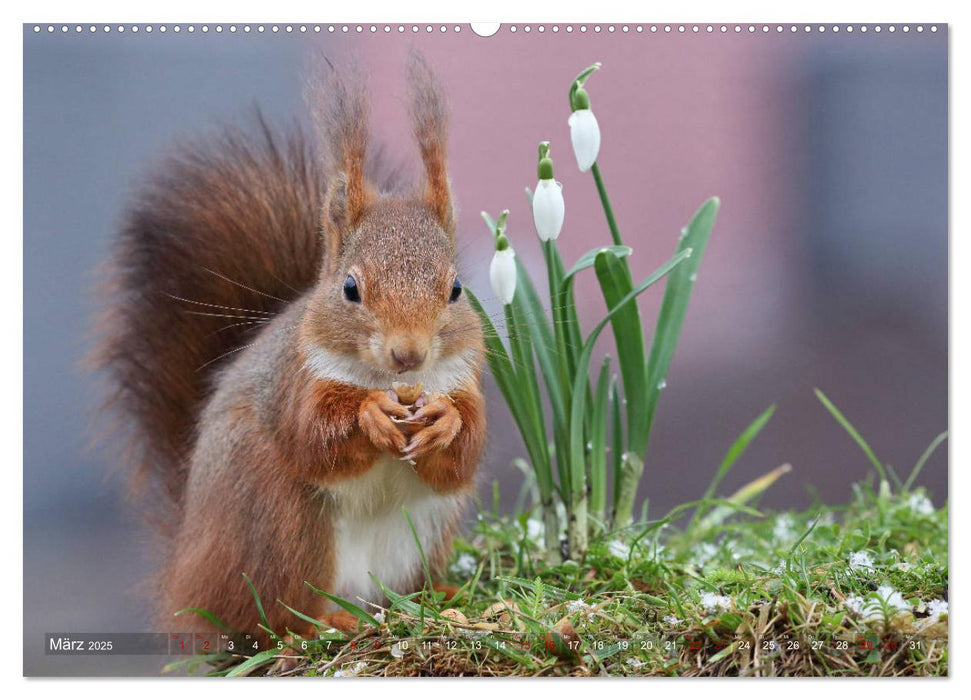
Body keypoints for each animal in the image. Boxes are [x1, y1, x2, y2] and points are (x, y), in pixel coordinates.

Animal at [98, 54, 486, 644]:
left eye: (456, 288)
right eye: (350, 288)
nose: (409, 355)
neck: (390, 381)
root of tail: (189, 573)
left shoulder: (464, 378)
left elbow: (463, 453)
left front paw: (445, 420)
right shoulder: (294, 380)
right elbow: (312, 436)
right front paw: (368, 414)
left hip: (428, 528)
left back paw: (439, 597)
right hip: (281, 519)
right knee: (274, 614)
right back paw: (321, 621)